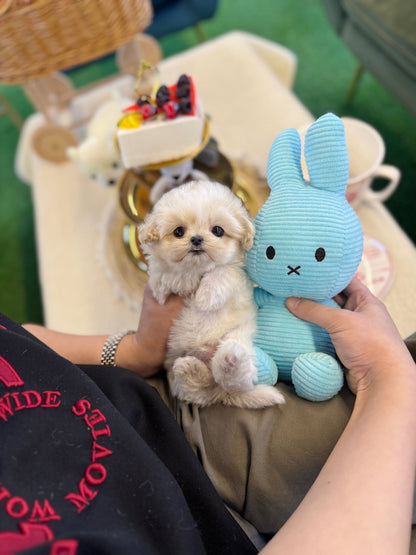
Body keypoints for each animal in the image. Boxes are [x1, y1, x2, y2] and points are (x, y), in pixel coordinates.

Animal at [138, 182, 284, 408]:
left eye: (218, 230)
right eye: (179, 231)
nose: (197, 239)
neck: (198, 268)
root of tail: (223, 393)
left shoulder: (238, 278)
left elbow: (223, 271)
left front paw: (205, 298)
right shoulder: (158, 280)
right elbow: (171, 275)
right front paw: (186, 280)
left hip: (239, 337)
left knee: (234, 377)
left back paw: (230, 363)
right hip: (175, 369)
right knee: (201, 389)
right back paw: (190, 370)